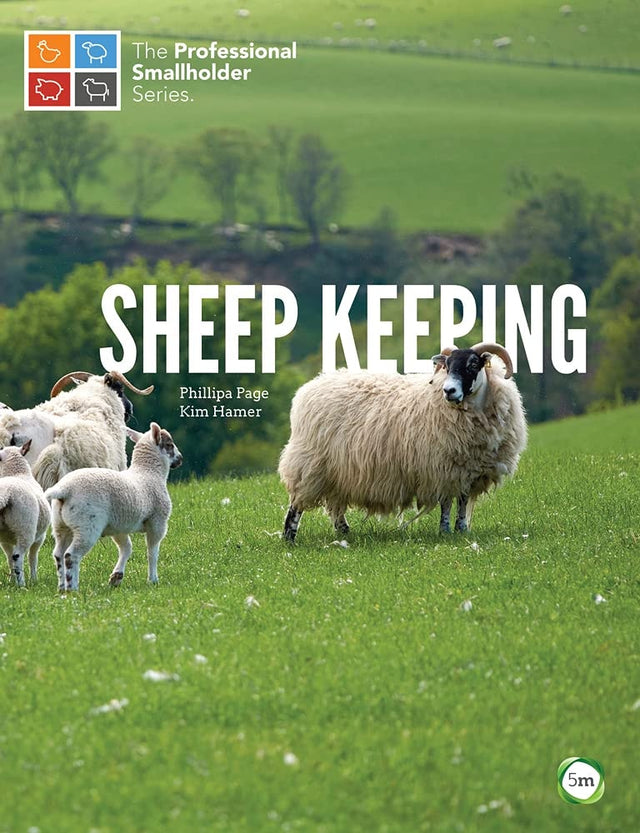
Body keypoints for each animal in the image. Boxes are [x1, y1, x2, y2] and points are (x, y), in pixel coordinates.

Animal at [0, 441, 51, 587]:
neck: (17, 473)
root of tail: (6, 493)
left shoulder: (5, 540)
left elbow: (8, 558)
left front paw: (11, 580)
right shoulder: (40, 537)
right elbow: (33, 558)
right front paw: (34, 579)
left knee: (12, 557)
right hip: (25, 529)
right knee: (18, 556)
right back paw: (21, 584)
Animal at [45, 422, 182, 592]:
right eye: (169, 445)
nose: (180, 459)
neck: (149, 473)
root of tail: (64, 489)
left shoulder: (119, 526)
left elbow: (126, 548)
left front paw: (116, 577)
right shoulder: (157, 522)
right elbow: (152, 552)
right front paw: (153, 580)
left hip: (61, 525)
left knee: (58, 554)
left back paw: (62, 587)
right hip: (87, 525)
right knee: (71, 555)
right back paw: (72, 588)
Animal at [278, 342, 527, 542]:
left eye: (473, 364)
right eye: (447, 366)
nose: (449, 391)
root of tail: (309, 387)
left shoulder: (467, 470)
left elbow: (463, 502)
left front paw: (462, 529)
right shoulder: (443, 468)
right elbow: (447, 503)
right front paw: (445, 531)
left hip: (337, 471)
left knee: (335, 505)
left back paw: (345, 532)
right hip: (310, 464)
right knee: (296, 504)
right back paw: (289, 537)